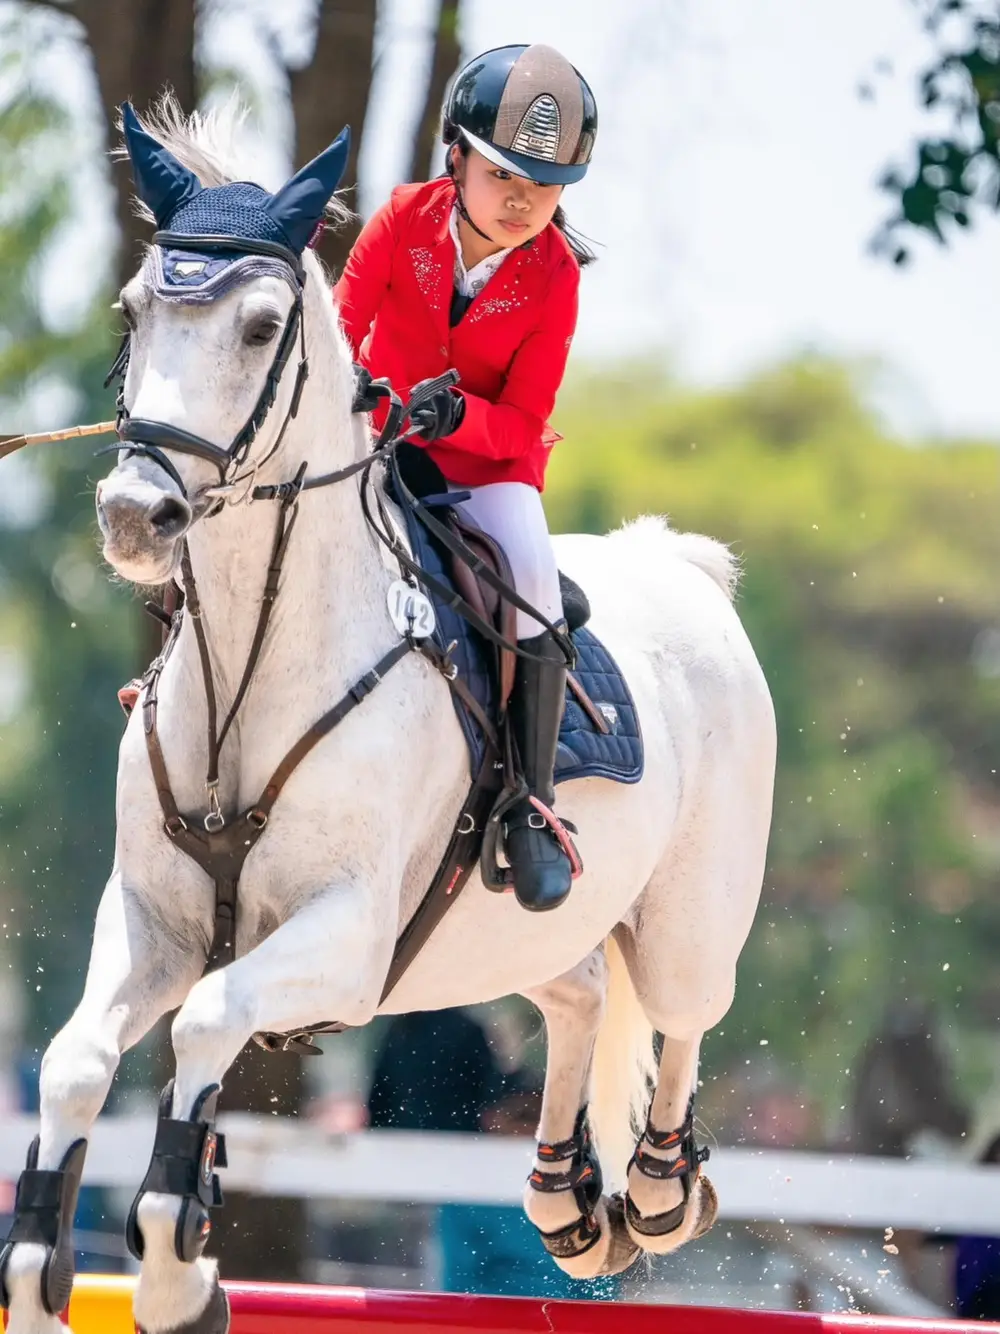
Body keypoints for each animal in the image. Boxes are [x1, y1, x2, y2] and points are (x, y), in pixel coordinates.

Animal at [0, 98, 776, 1334]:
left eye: (263, 325)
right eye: (131, 308)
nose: (134, 515)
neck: (252, 663)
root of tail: (682, 568)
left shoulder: (345, 938)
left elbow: (204, 1022)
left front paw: (177, 1267)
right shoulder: (152, 922)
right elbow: (78, 1062)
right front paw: (42, 1272)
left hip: (689, 922)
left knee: (681, 1007)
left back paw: (655, 1187)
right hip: (509, 934)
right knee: (578, 992)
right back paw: (565, 1197)